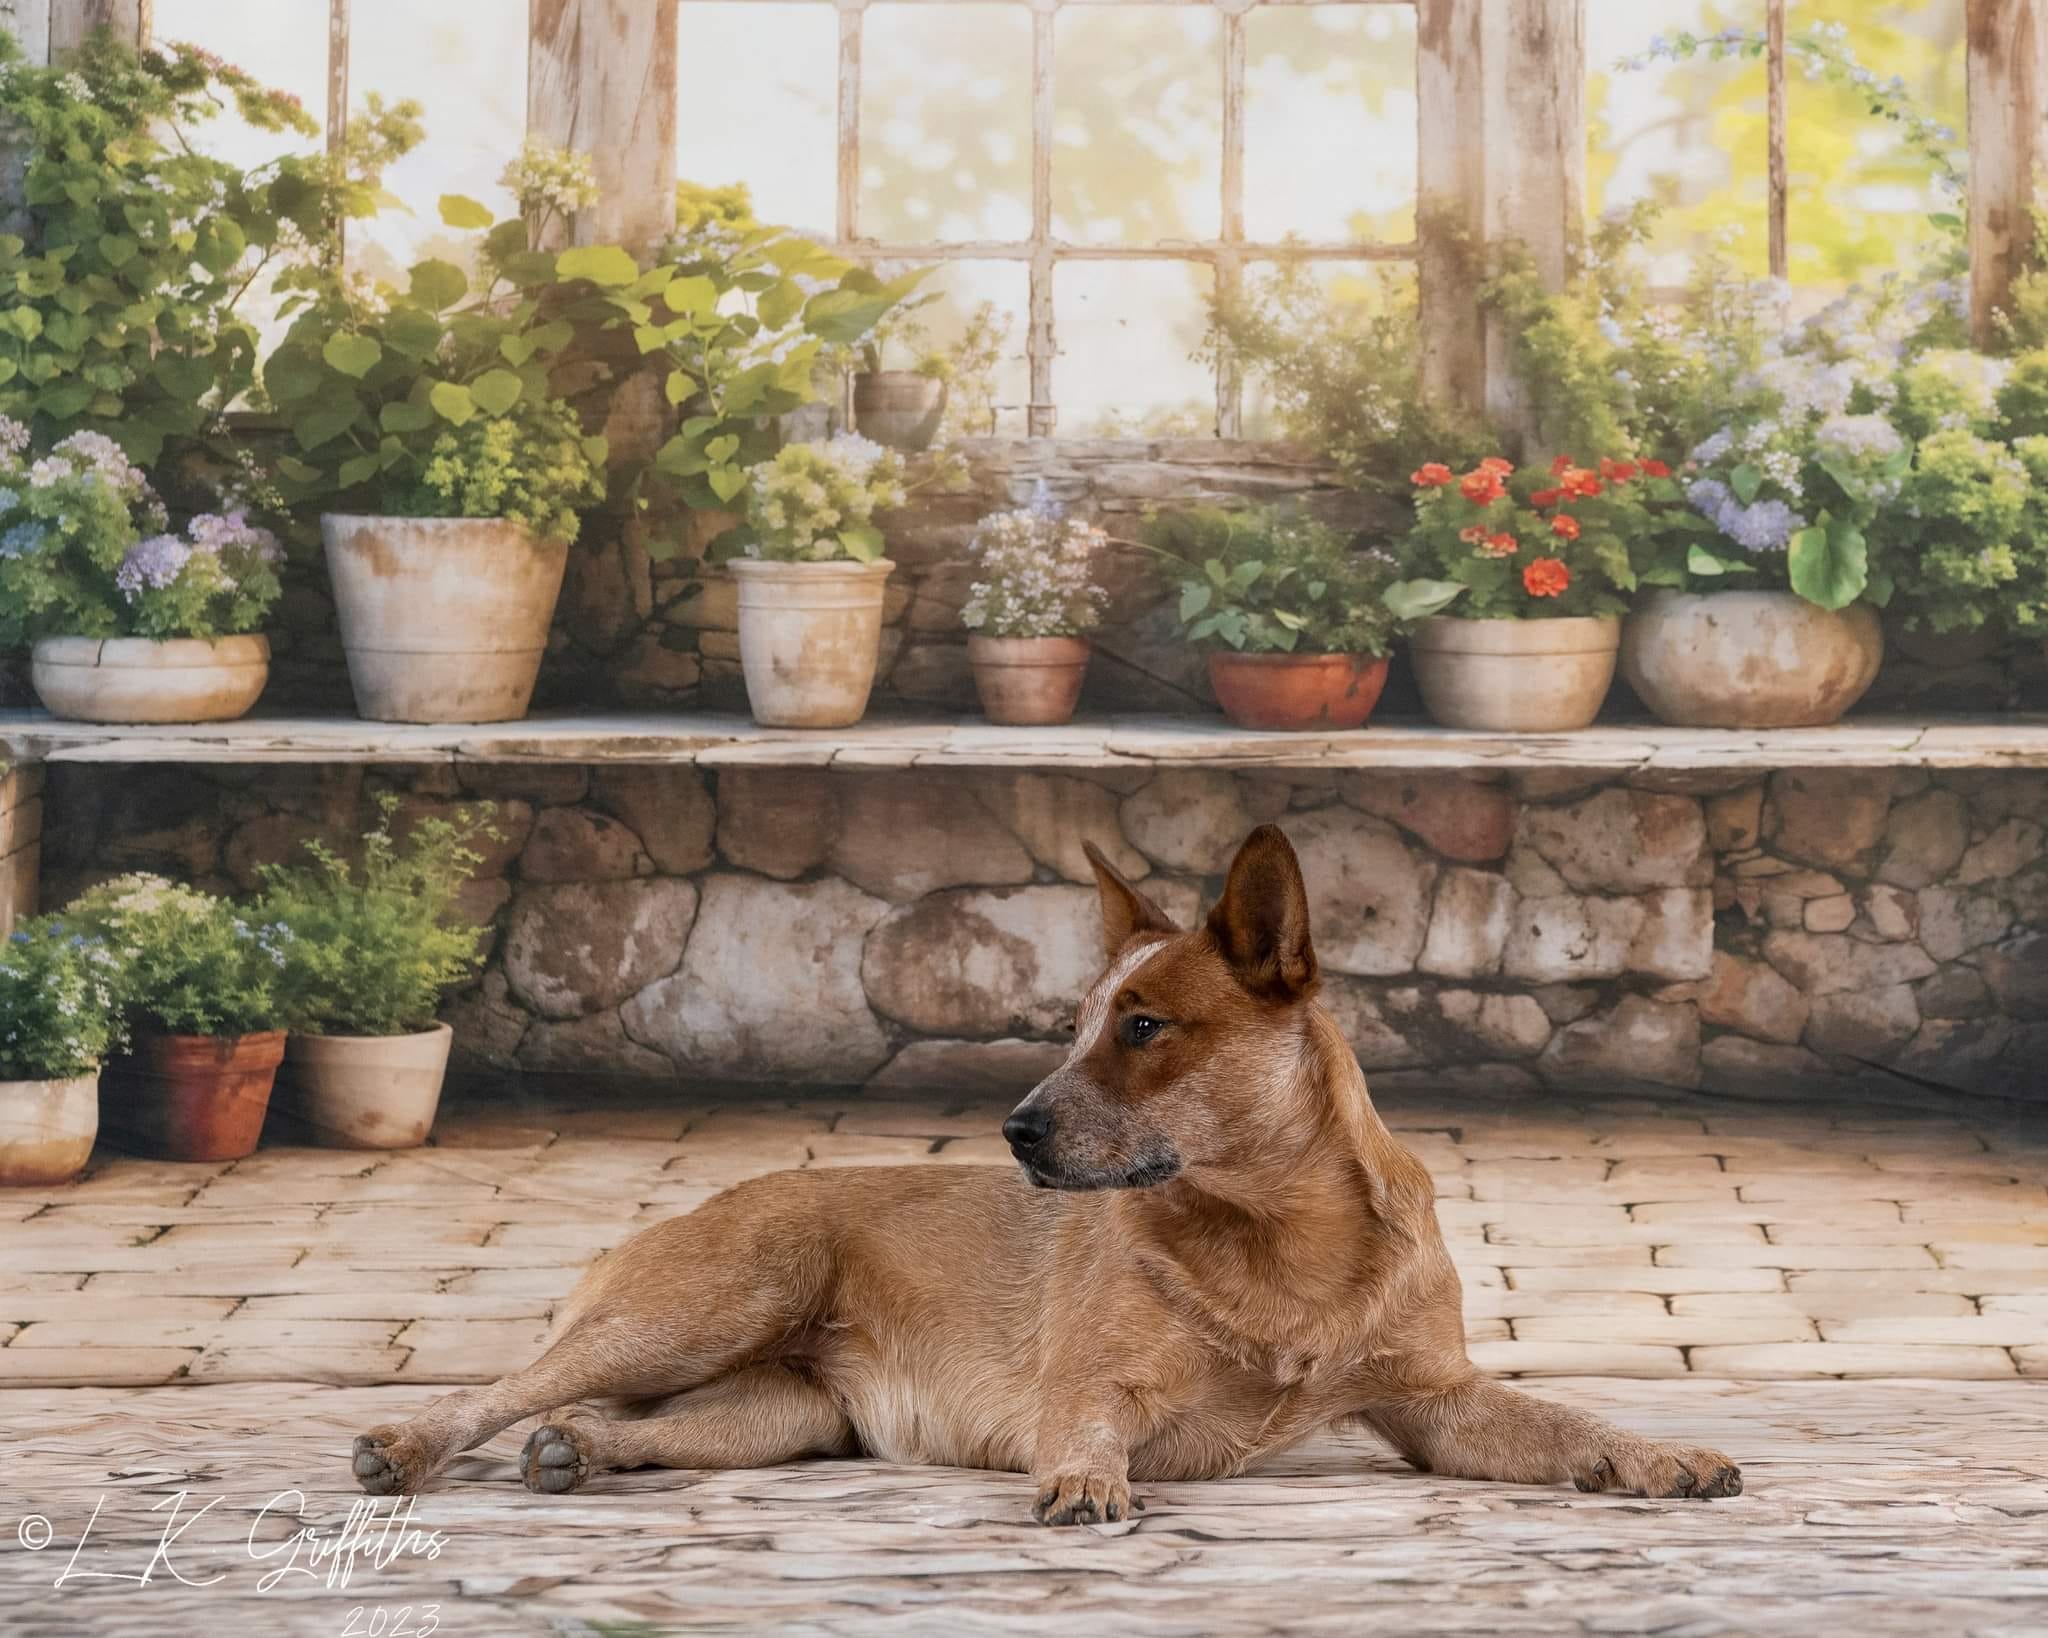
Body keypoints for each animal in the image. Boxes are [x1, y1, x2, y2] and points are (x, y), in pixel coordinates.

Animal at [356, 831, 1744, 1523]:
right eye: (1072, 1025)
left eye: (1142, 1026)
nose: (1014, 1130)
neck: (1280, 1241)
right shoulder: (1093, 1384)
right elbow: (1084, 1426)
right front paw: (1084, 1482)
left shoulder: (1434, 1405)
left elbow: (1566, 1425)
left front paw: (1658, 1456)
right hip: (702, 1307)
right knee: (498, 1389)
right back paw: (405, 1444)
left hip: (779, 1411)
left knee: (620, 1423)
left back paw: (579, 1454)